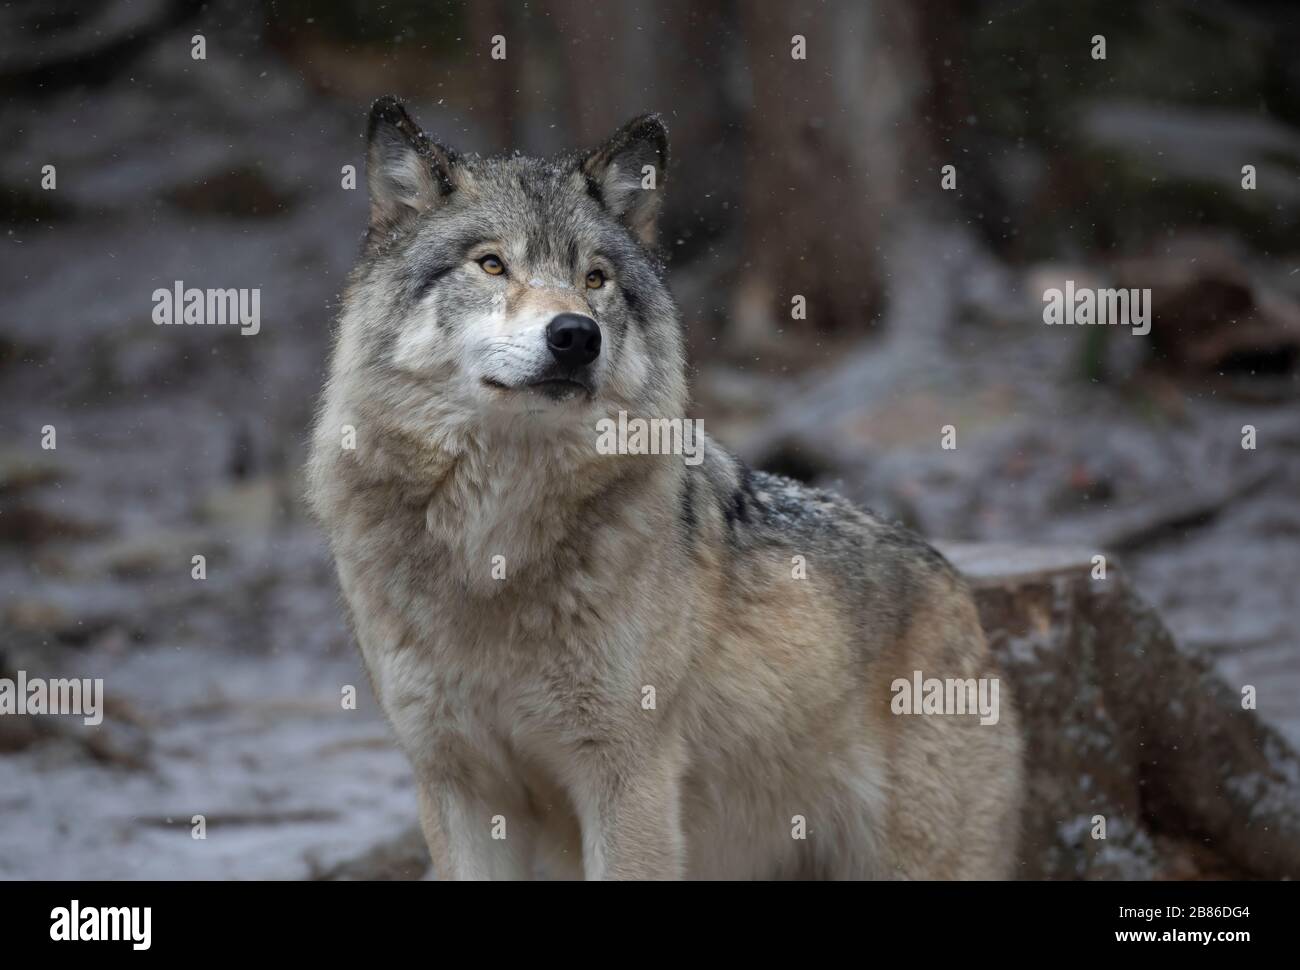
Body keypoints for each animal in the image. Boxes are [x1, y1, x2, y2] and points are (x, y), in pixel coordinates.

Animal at [306, 96, 1024, 878]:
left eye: (595, 278)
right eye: (492, 264)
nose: (575, 335)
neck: (494, 544)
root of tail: (958, 587)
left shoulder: (629, 778)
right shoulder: (457, 785)